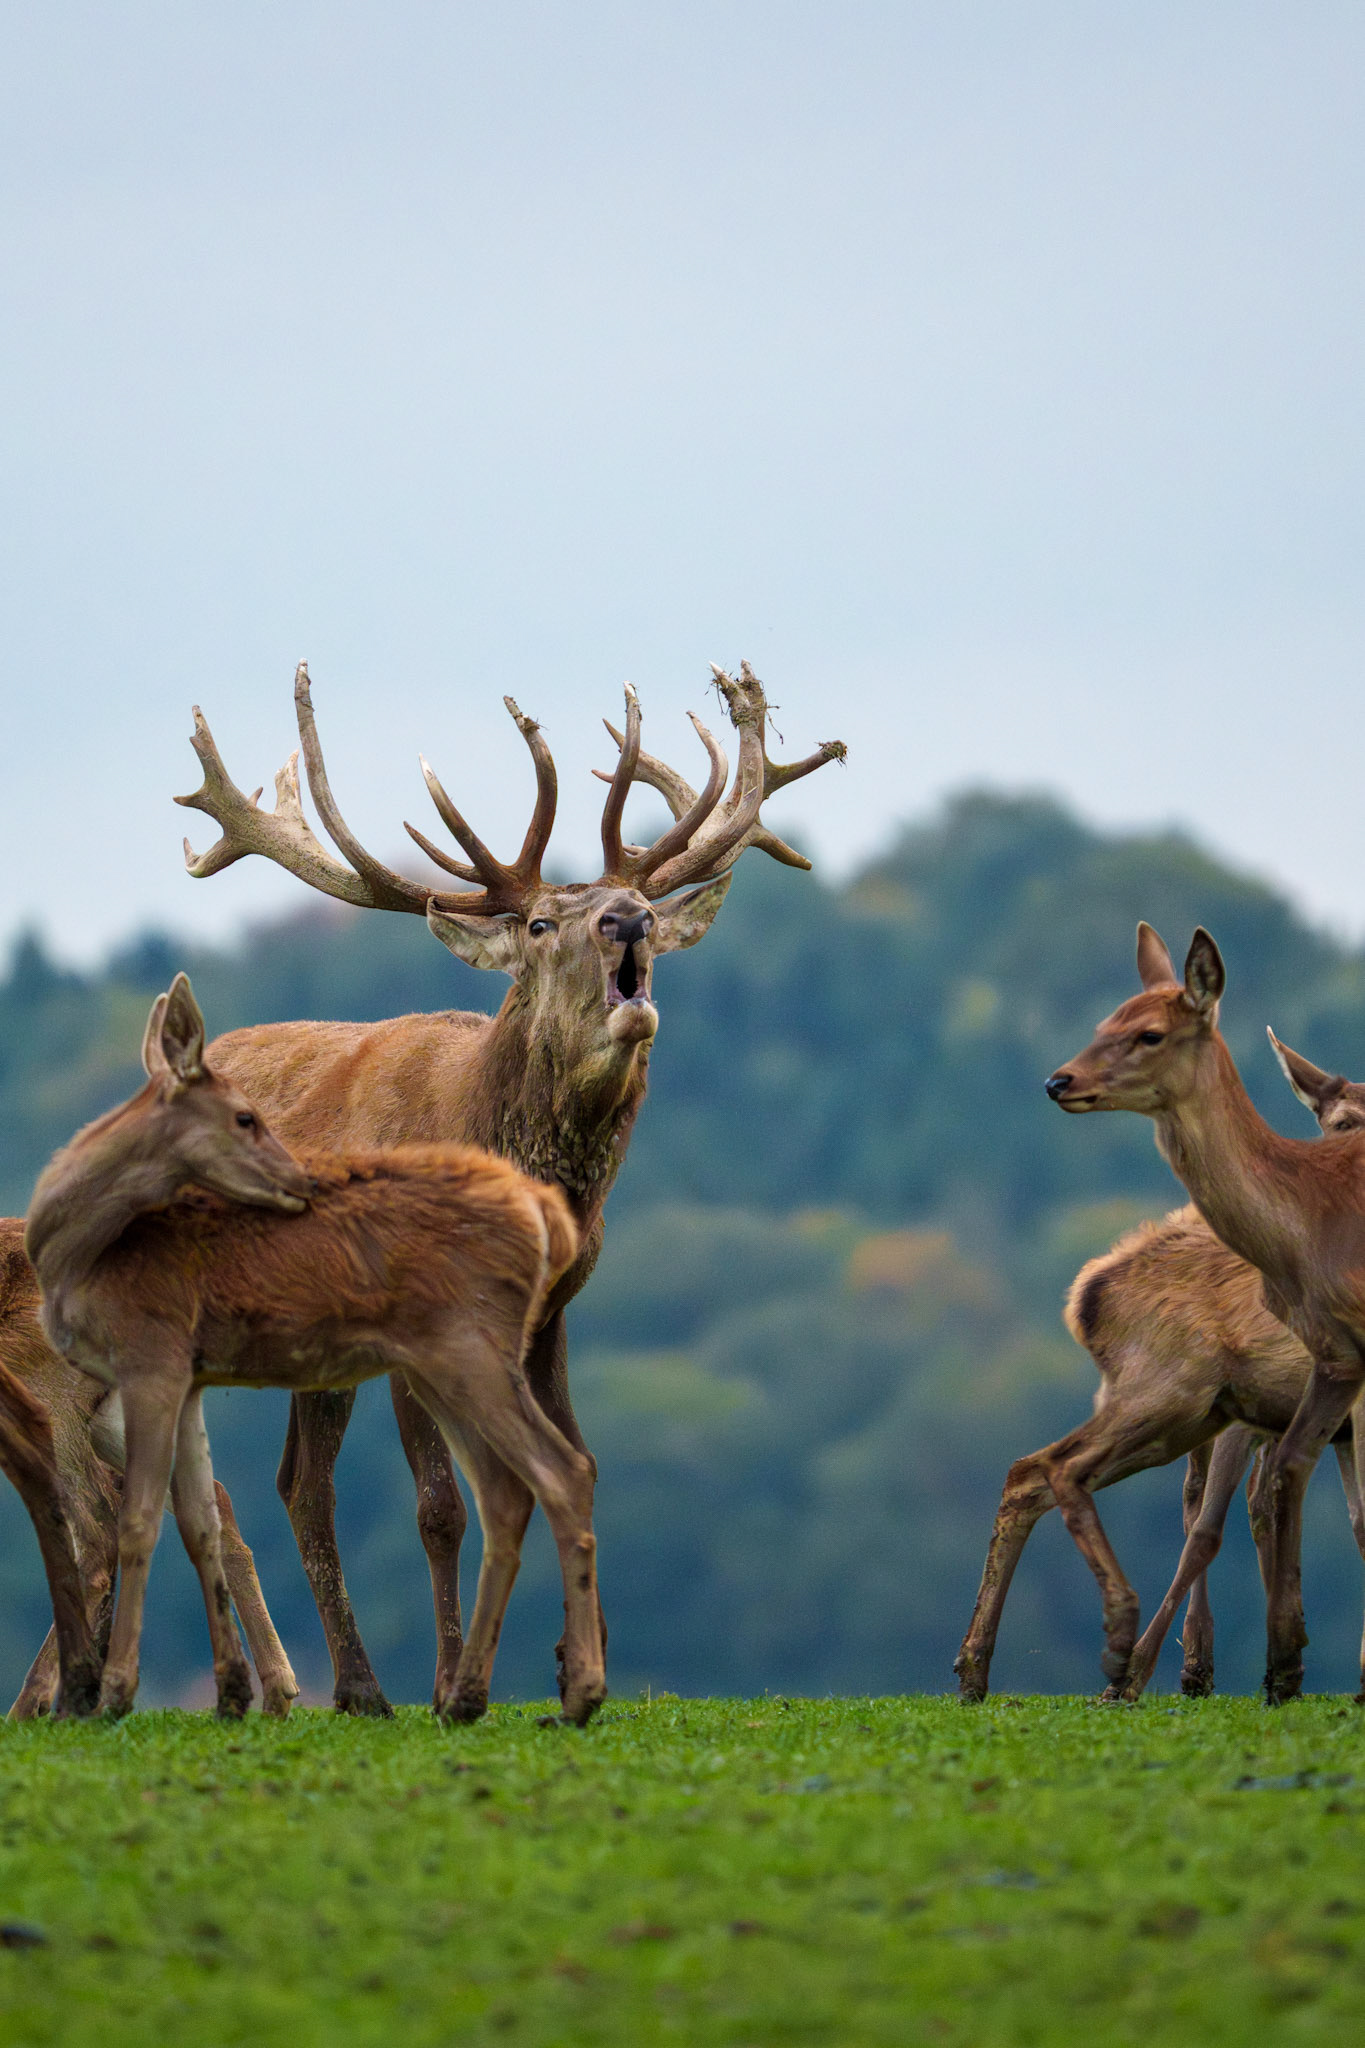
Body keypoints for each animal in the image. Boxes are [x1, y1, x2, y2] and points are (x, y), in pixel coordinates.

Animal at [26, 974, 600, 1723]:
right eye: (245, 1116)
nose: (302, 1179)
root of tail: (544, 1216)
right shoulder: (183, 1381)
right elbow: (200, 1520)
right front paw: (231, 1692)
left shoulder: (152, 1359)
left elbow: (138, 1518)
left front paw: (118, 1691)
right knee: (509, 1489)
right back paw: (470, 1693)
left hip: (465, 1350)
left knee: (559, 1471)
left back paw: (562, 1693)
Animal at [143, 659, 843, 1719]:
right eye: (544, 922)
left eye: (636, 902)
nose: (629, 921)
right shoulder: (410, 1319)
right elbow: (440, 1505)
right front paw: (449, 1683)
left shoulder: (551, 1312)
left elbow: (575, 1459)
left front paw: (576, 1664)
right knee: (288, 1482)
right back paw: (355, 1686)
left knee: (296, 1478)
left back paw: (346, 1684)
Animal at [1042, 922, 1365, 1704]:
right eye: (1108, 1023)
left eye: (1150, 1033)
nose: (1058, 1080)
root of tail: (1086, 1293)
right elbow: (1269, 1499)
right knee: (1203, 1508)